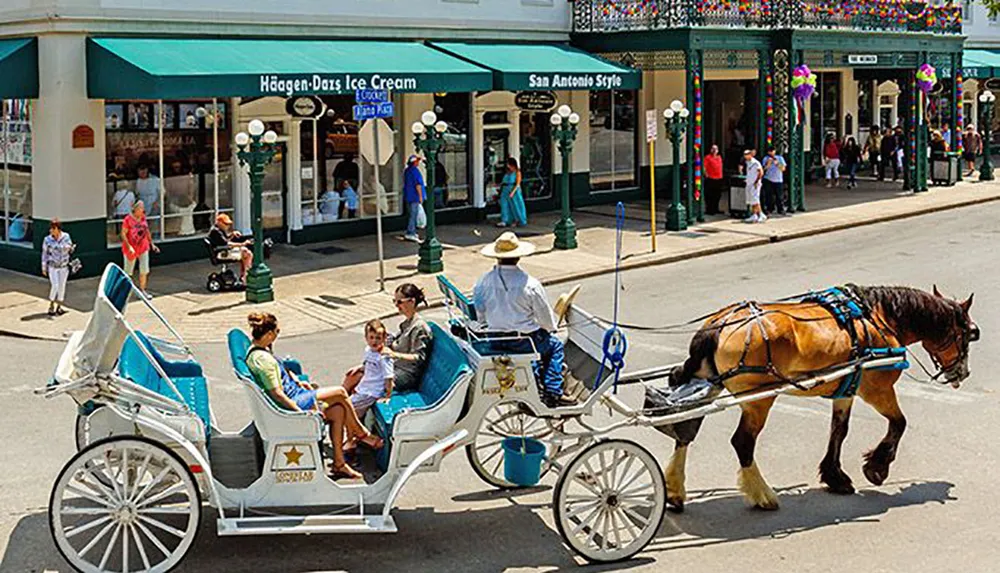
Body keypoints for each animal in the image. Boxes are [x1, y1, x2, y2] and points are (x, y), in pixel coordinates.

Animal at [652, 284, 980, 512]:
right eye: (968, 334)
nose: (962, 373)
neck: (877, 319)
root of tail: (716, 326)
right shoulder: (877, 389)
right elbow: (899, 423)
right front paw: (877, 467)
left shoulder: (847, 388)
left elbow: (839, 430)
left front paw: (835, 476)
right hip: (758, 399)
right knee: (742, 442)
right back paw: (762, 495)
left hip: (707, 384)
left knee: (685, 432)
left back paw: (675, 491)